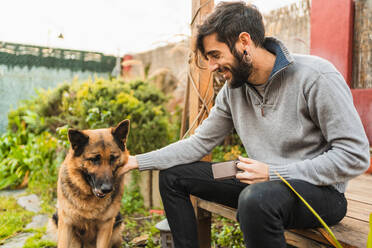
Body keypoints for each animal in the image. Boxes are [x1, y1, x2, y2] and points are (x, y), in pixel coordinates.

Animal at [50, 119, 130, 247]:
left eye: (113, 158)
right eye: (94, 159)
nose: (107, 189)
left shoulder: (106, 225)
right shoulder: (66, 224)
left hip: (117, 223)